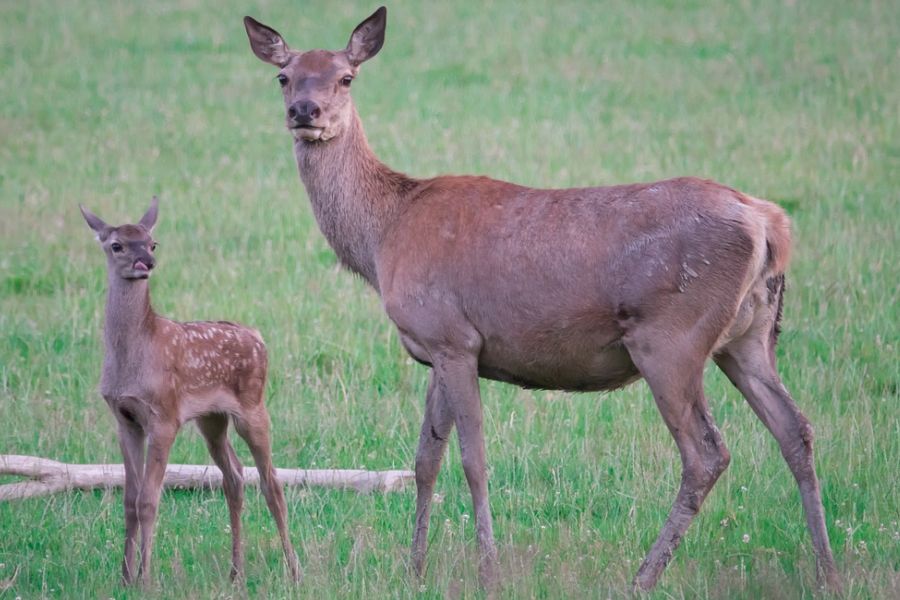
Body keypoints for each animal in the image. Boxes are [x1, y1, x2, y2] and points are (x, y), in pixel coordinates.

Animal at [80, 199, 300, 584]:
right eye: (116, 245)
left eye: (152, 243)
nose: (146, 263)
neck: (133, 356)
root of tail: (258, 336)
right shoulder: (125, 418)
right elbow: (130, 499)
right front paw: (123, 577)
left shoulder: (164, 416)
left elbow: (149, 499)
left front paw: (145, 579)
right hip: (212, 419)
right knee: (235, 477)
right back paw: (235, 573)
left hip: (253, 405)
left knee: (271, 482)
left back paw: (294, 571)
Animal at [243, 7, 840, 592]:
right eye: (284, 76)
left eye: (347, 77)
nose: (305, 110)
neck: (383, 236)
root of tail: (769, 223)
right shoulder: (435, 345)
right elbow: (425, 458)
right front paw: (414, 570)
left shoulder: (453, 337)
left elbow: (473, 459)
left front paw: (488, 571)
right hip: (748, 336)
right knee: (796, 429)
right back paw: (827, 572)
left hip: (671, 338)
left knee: (706, 453)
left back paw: (642, 576)